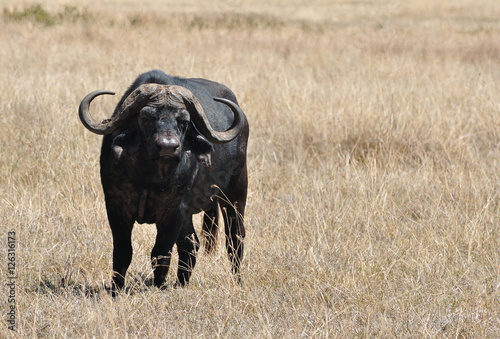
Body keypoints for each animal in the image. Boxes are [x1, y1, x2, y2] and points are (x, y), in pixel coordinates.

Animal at [78, 70, 248, 290]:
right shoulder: (116, 204)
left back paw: (238, 281)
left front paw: (158, 286)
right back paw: (182, 283)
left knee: (235, 238)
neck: (147, 177)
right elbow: (122, 252)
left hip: (236, 192)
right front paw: (116, 288)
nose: (168, 146)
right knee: (190, 244)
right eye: (146, 117)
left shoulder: (174, 208)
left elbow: (161, 252)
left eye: (184, 121)